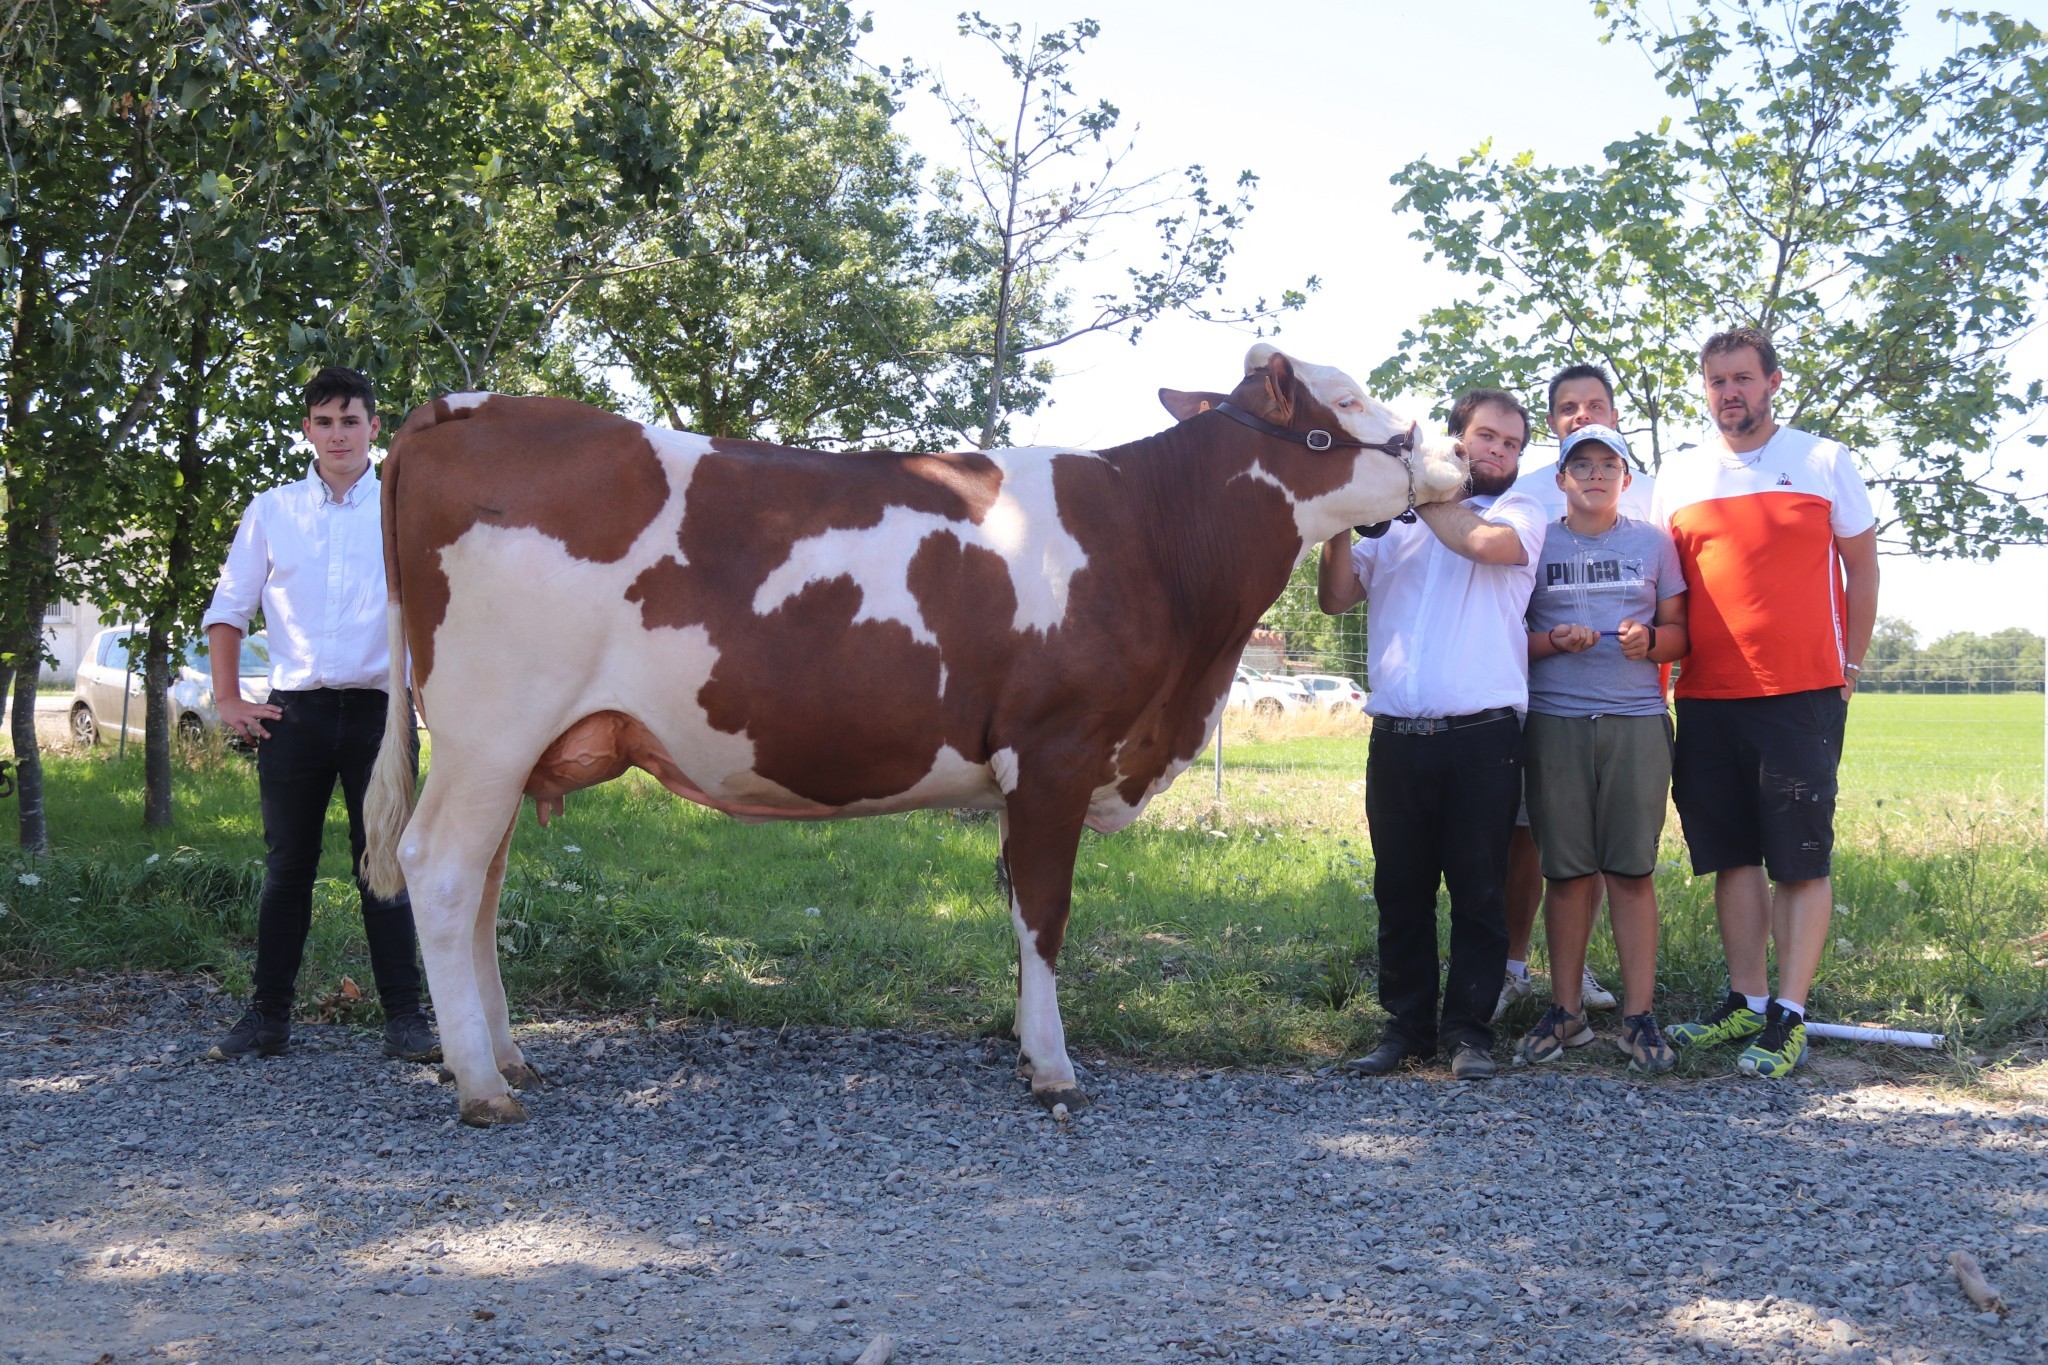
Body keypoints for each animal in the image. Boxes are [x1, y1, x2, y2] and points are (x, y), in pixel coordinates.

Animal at [368, 347, 1474, 1129]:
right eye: (1351, 399)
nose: (1461, 451)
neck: (1156, 541)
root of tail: (464, 405)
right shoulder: (1056, 749)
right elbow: (1045, 911)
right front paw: (1053, 1071)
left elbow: (1017, 911)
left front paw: (1026, 1049)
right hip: (488, 725)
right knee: (441, 870)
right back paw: (481, 1085)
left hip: (508, 745)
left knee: (482, 884)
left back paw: (507, 1052)